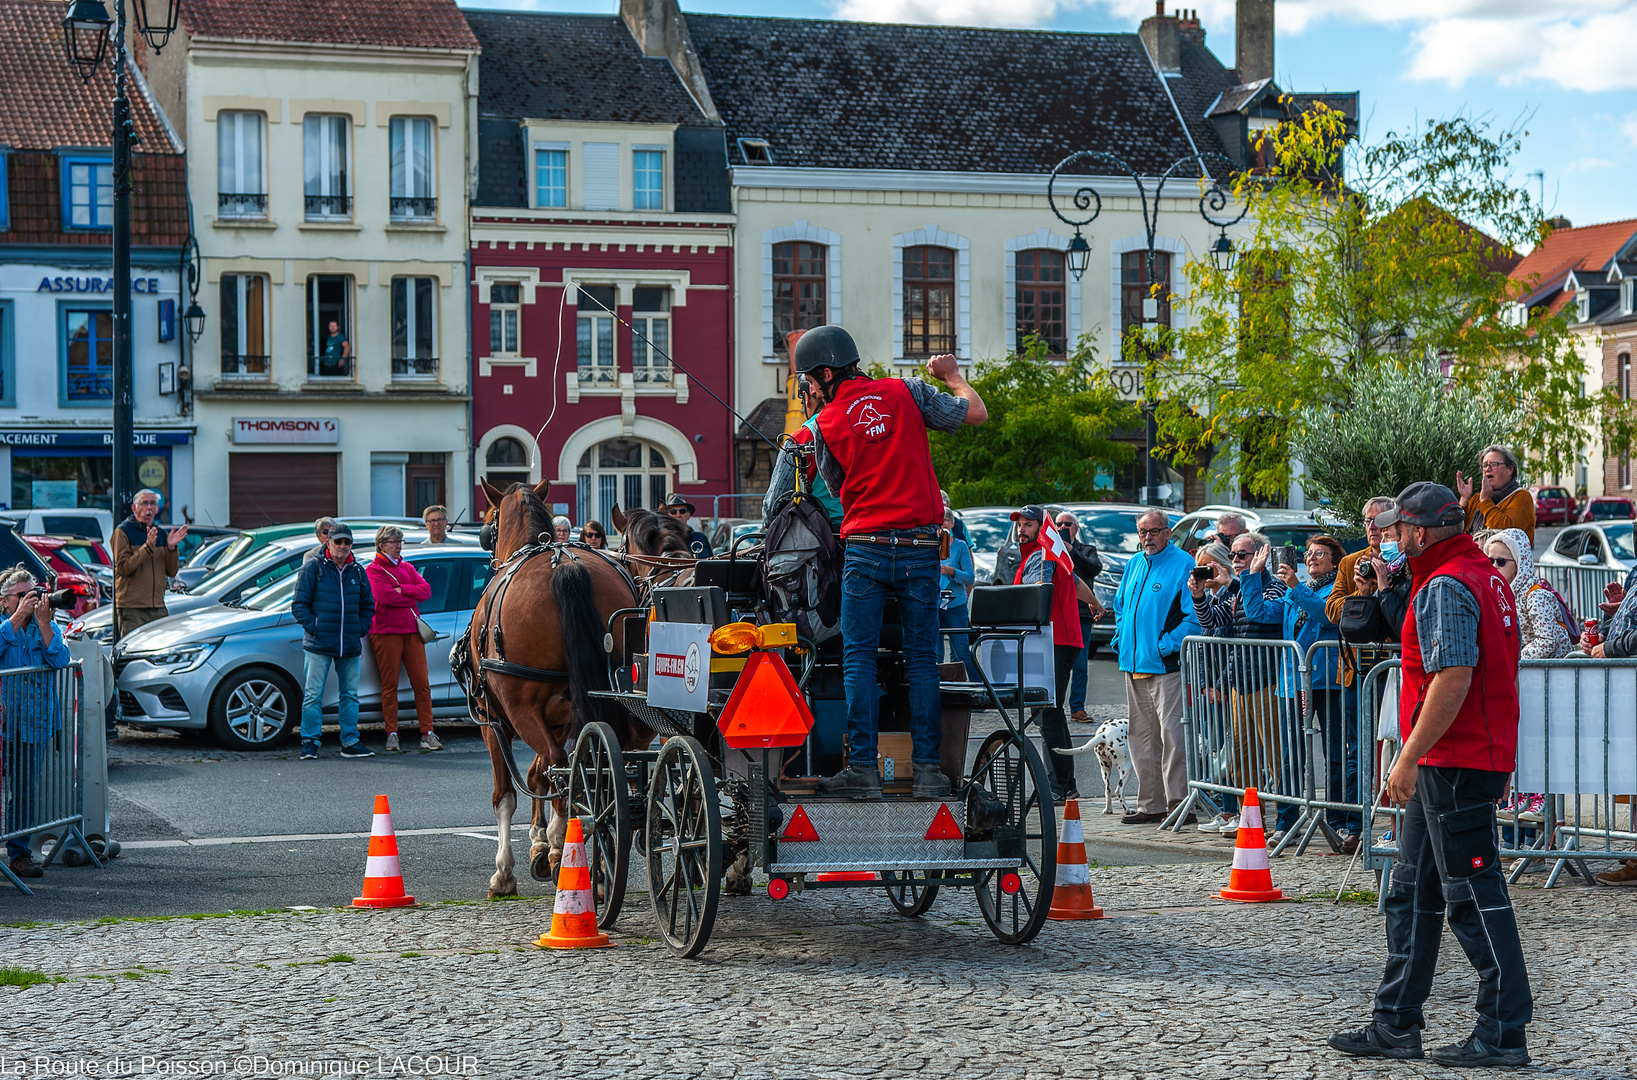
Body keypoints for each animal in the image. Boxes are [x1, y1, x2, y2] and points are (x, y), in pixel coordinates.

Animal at [458, 477, 694, 896]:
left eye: (489, 525)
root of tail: (564, 566)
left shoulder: (493, 719)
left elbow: (507, 793)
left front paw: (508, 872)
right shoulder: (564, 714)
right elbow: (543, 774)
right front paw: (543, 843)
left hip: (519, 707)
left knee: (561, 767)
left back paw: (569, 855)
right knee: (588, 772)